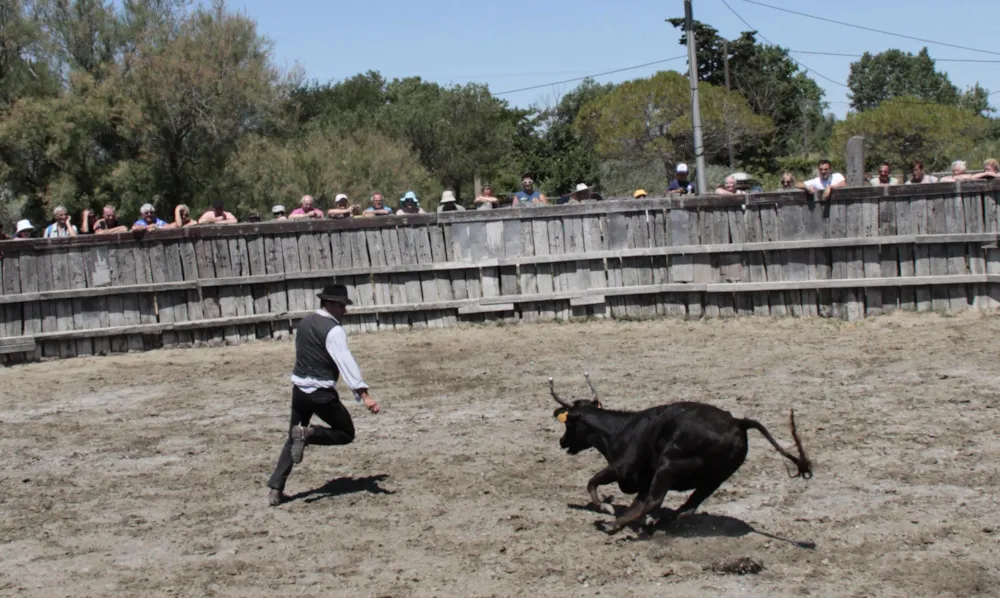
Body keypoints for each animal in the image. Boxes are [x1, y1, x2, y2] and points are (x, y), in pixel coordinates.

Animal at [548, 378, 812, 536]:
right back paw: (656, 524)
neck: (619, 430)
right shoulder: (644, 481)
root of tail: (738, 421)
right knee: (687, 507)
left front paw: (605, 508)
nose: (561, 442)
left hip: (669, 465)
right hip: (713, 479)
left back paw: (614, 525)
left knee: (657, 501)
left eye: (569, 423)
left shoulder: (620, 469)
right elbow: (637, 501)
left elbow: (592, 482)